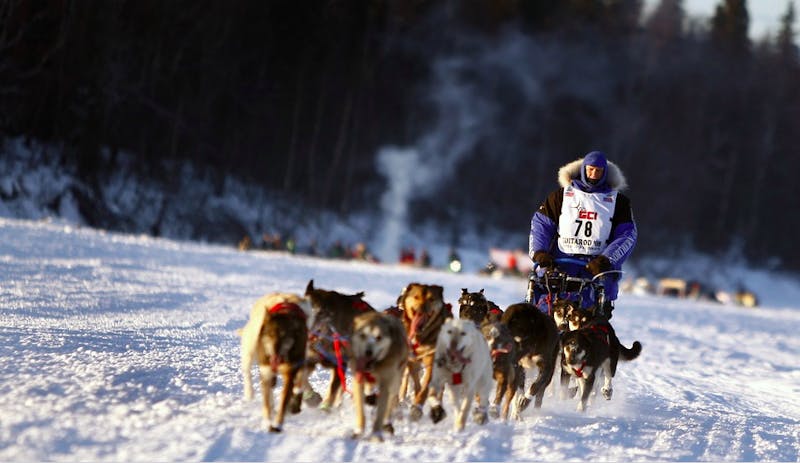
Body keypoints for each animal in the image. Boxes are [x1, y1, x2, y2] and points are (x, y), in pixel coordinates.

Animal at [236, 292, 310, 434]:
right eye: (270, 334)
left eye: (285, 336)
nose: (274, 353)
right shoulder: (266, 371)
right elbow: (266, 402)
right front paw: (267, 422)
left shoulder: (290, 371)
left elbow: (285, 399)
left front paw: (278, 423)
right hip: (250, 349)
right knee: (248, 372)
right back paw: (250, 393)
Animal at [304, 280, 376, 410]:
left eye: (320, 313)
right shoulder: (311, 359)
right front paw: (312, 398)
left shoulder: (340, 363)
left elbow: (333, 388)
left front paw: (326, 406)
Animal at [350, 312, 410, 442]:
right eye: (362, 335)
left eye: (379, 337)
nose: (368, 352)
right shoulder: (358, 380)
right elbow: (360, 409)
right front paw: (359, 431)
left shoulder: (386, 383)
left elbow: (381, 411)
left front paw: (376, 435)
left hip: (396, 380)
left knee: (391, 401)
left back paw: (387, 423)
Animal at [396, 282, 454, 420]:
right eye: (416, 297)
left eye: (431, 299)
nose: (422, 308)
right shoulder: (412, 361)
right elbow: (418, 385)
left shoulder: (432, 361)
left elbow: (425, 387)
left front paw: (417, 408)